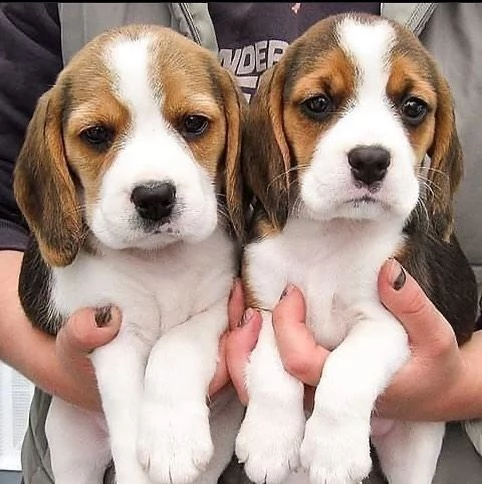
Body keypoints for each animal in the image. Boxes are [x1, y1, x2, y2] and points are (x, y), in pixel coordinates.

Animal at [13, 24, 247, 484]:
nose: (154, 197)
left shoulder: (220, 304)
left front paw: (173, 438)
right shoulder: (113, 330)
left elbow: (175, 345)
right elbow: (129, 412)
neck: (162, 261)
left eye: (193, 124)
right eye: (96, 134)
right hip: (71, 441)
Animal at [235, 11, 476, 484]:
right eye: (318, 103)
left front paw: (333, 453)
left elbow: (347, 366)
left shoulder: (391, 323)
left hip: (416, 442)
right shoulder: (266, 309)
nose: (370, 160)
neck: (332, 234)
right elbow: (272, 367)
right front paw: (269, 441)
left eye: (413, 108)